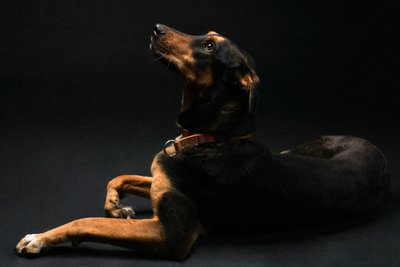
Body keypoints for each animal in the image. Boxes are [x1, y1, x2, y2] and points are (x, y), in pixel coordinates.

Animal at [15, 24, 390, 260]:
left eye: (209, 47)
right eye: (208, 36)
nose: (157, 27)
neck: (213, 137)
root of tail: (379, 152)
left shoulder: (171, 236)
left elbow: (88, 222)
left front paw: (41, 239)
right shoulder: (161, 180)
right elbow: (119, 177)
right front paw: (117, 206)